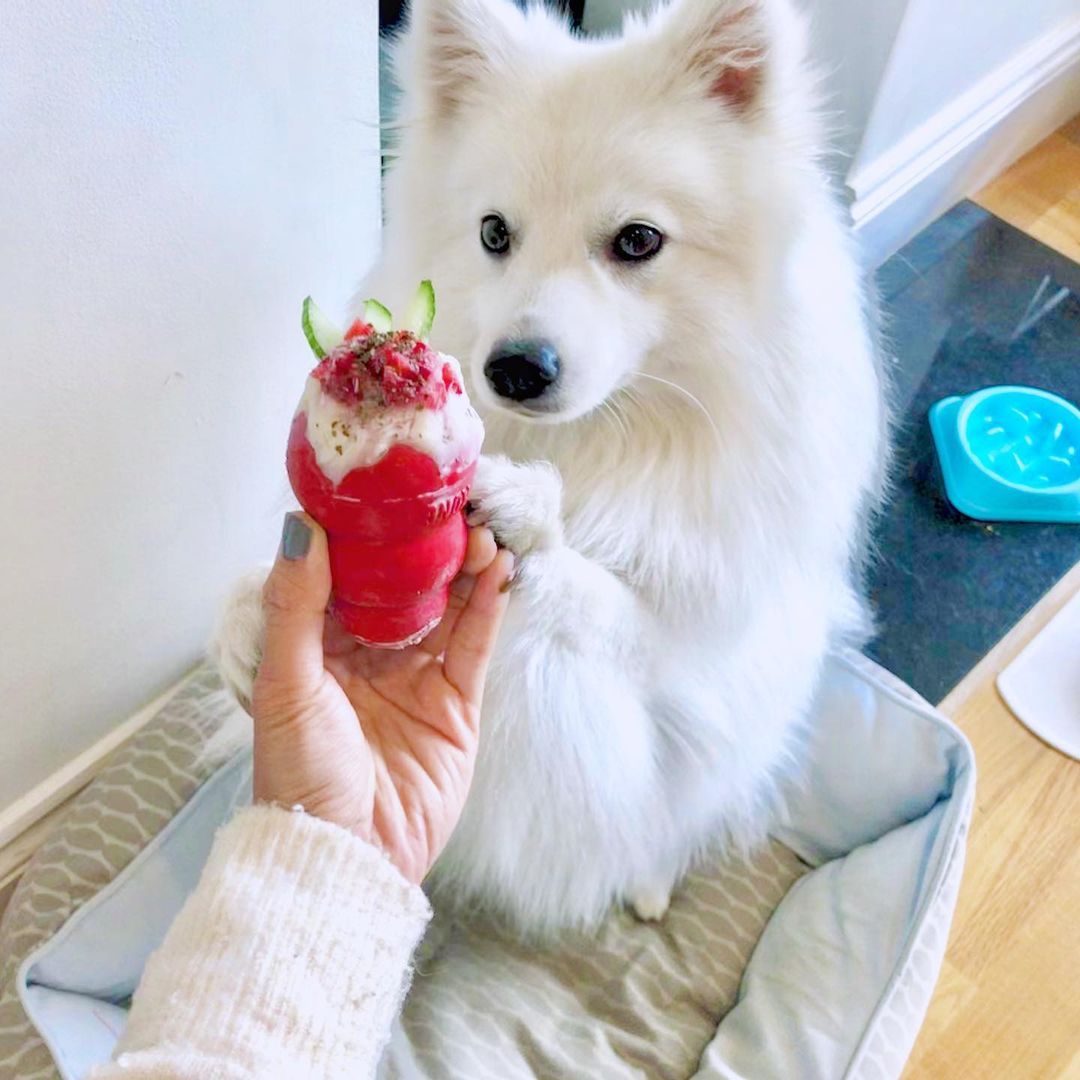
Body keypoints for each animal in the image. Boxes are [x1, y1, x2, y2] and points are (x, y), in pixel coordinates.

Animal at [214, 0, 885, 936]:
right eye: (495, 232)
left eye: (638, 240)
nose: (516, 368)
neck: (597, 443)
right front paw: (247, 621)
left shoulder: (685, 655)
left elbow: (602, 595)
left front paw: (529, 517)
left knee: (671, 823)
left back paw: (648, 886)